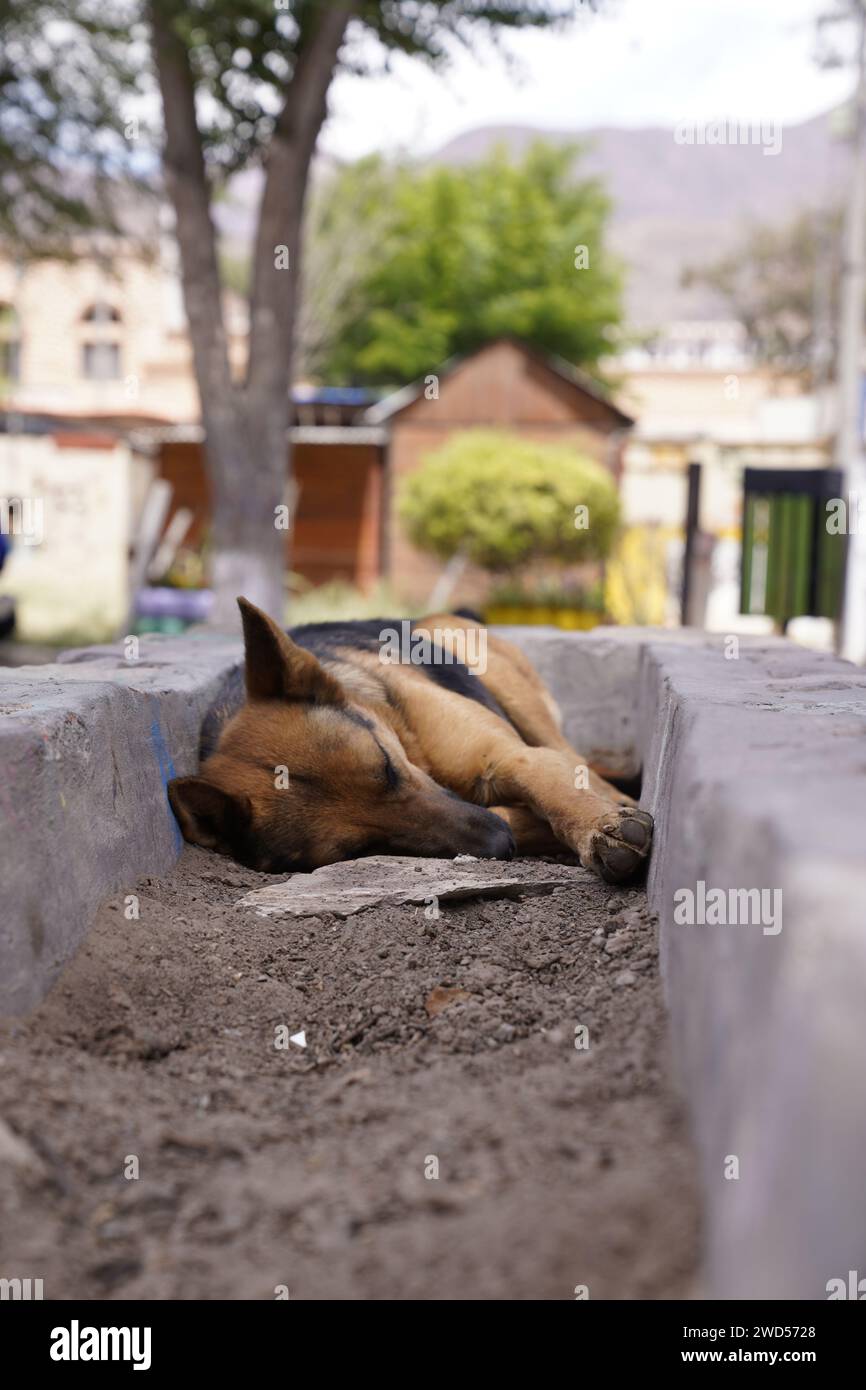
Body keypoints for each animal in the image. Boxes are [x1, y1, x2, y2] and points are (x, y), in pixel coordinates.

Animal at [166, 594, 653, 878]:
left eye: (386, 765)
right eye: (360, 849)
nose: (499, 843)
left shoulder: (509, 757)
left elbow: (555, 791)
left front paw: (597, 826)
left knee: (577, 763)